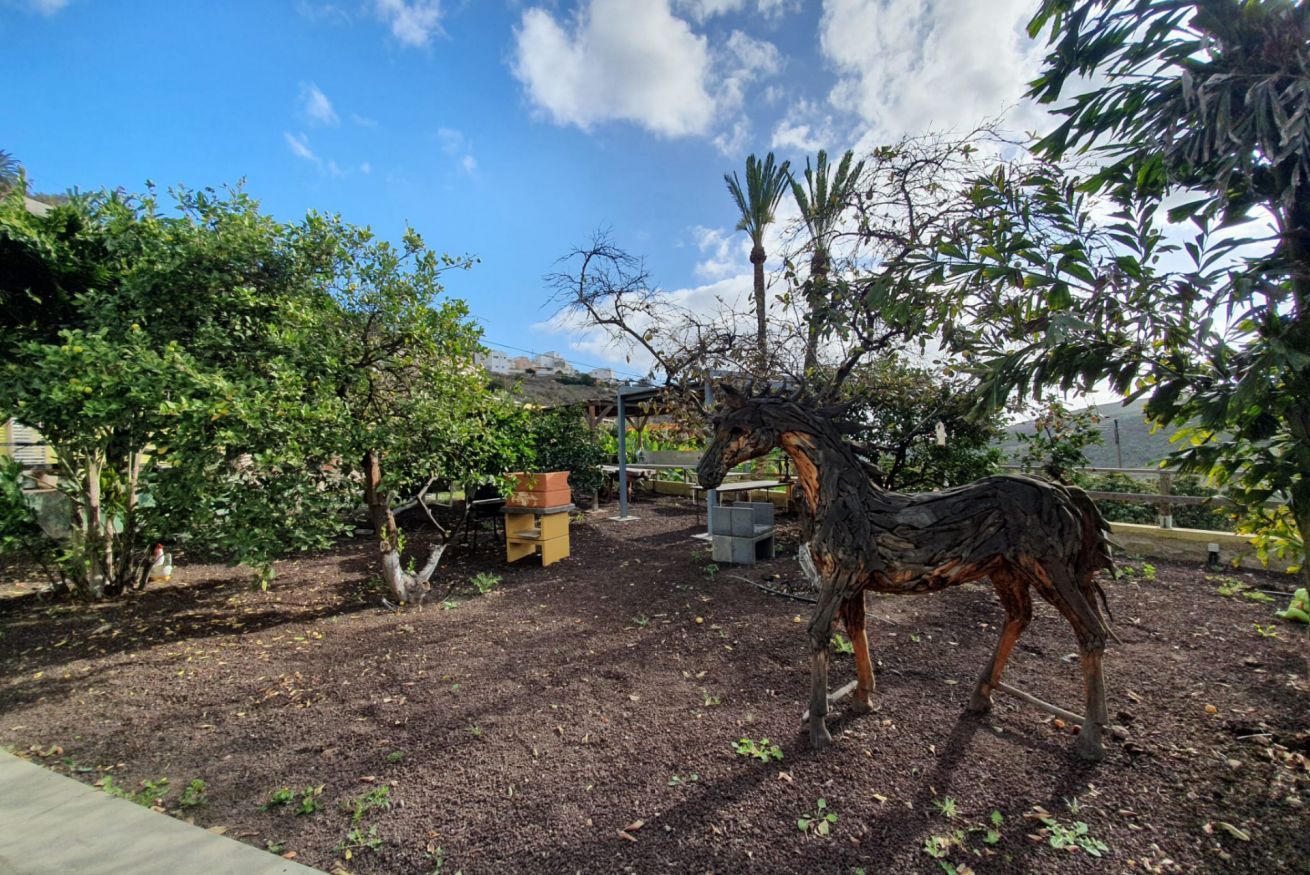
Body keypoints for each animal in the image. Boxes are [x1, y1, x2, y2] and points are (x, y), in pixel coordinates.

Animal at [696, 388, 1117, 760]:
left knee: (1092, 632)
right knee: (1019, 616)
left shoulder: (841, 577)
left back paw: (1091, 739)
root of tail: (1064, 493)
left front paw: (819, 728)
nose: (704, 474)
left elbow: (819, 633)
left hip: (1050, 569)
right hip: (1006, 570)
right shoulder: (852, 583)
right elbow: (856, 628)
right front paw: (863, 700)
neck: (841, 502)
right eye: (717, 425)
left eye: (737, 428)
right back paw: (981, 696)